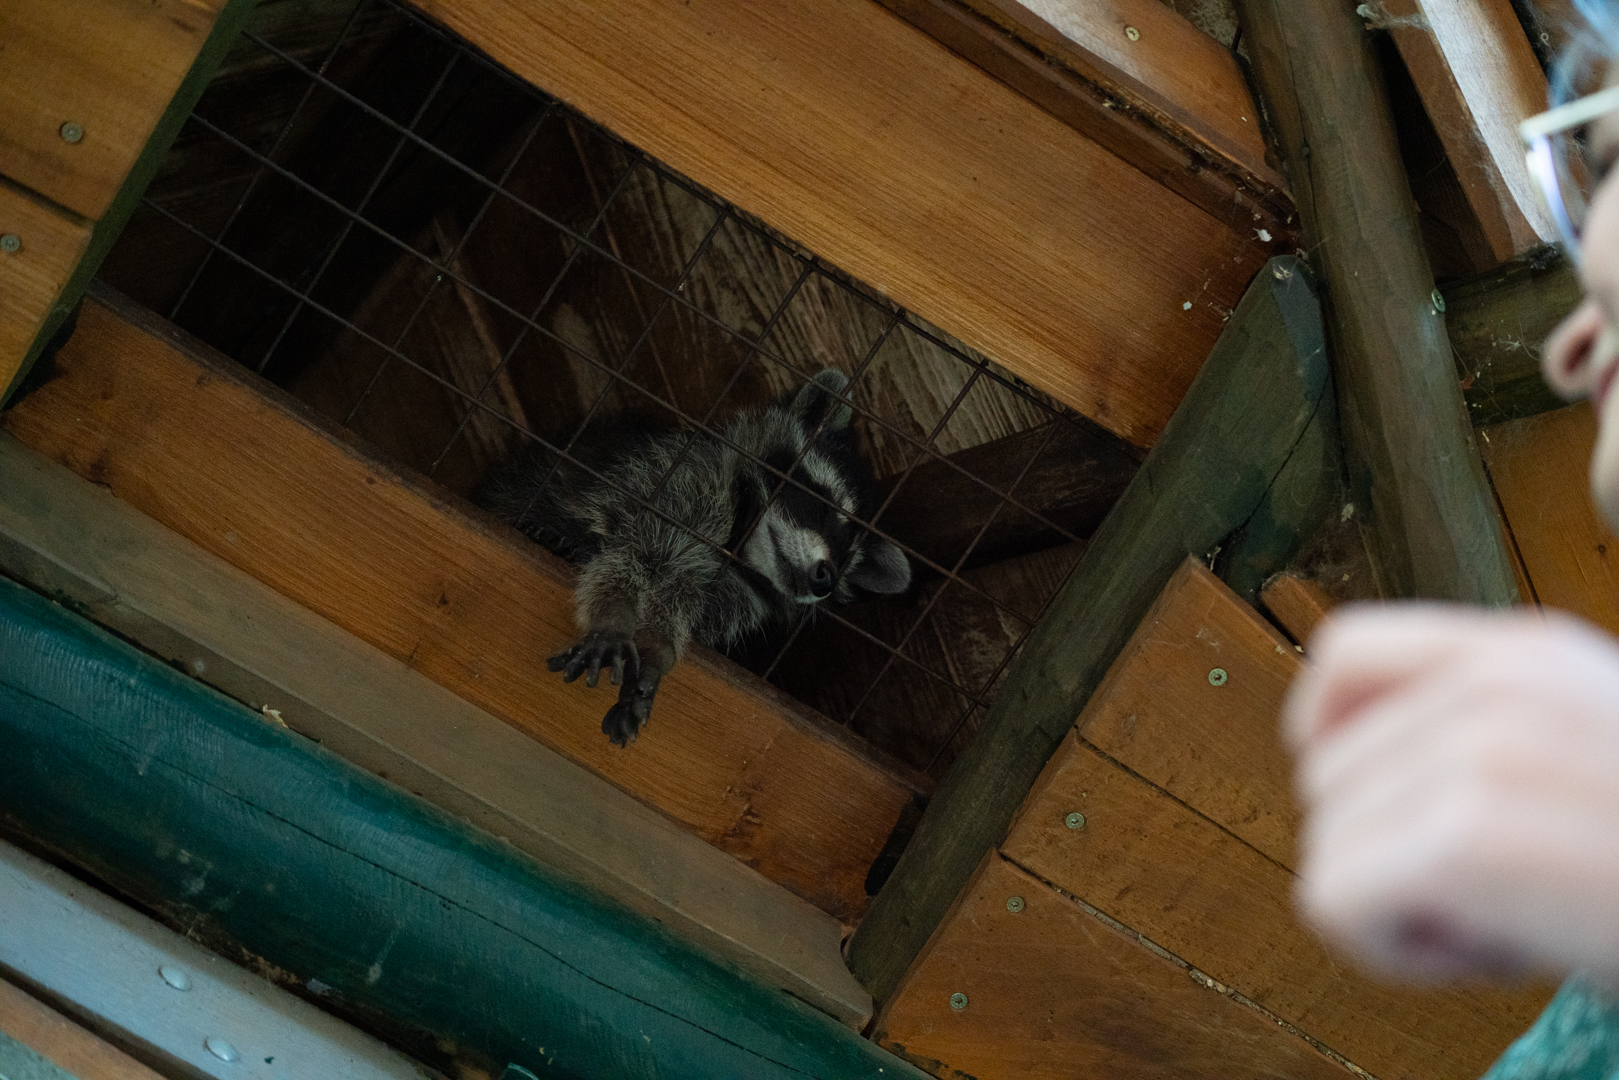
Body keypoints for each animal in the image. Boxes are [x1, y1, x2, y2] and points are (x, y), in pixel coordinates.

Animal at [481, 369, 912, 746]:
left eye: (847, 555)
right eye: (824, 504)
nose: (826, 577)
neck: (737, 549)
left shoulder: (728, 594)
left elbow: (677, 607)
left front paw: (659, 651)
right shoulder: (676, 484)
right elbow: (629, 554)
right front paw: (614, 618)